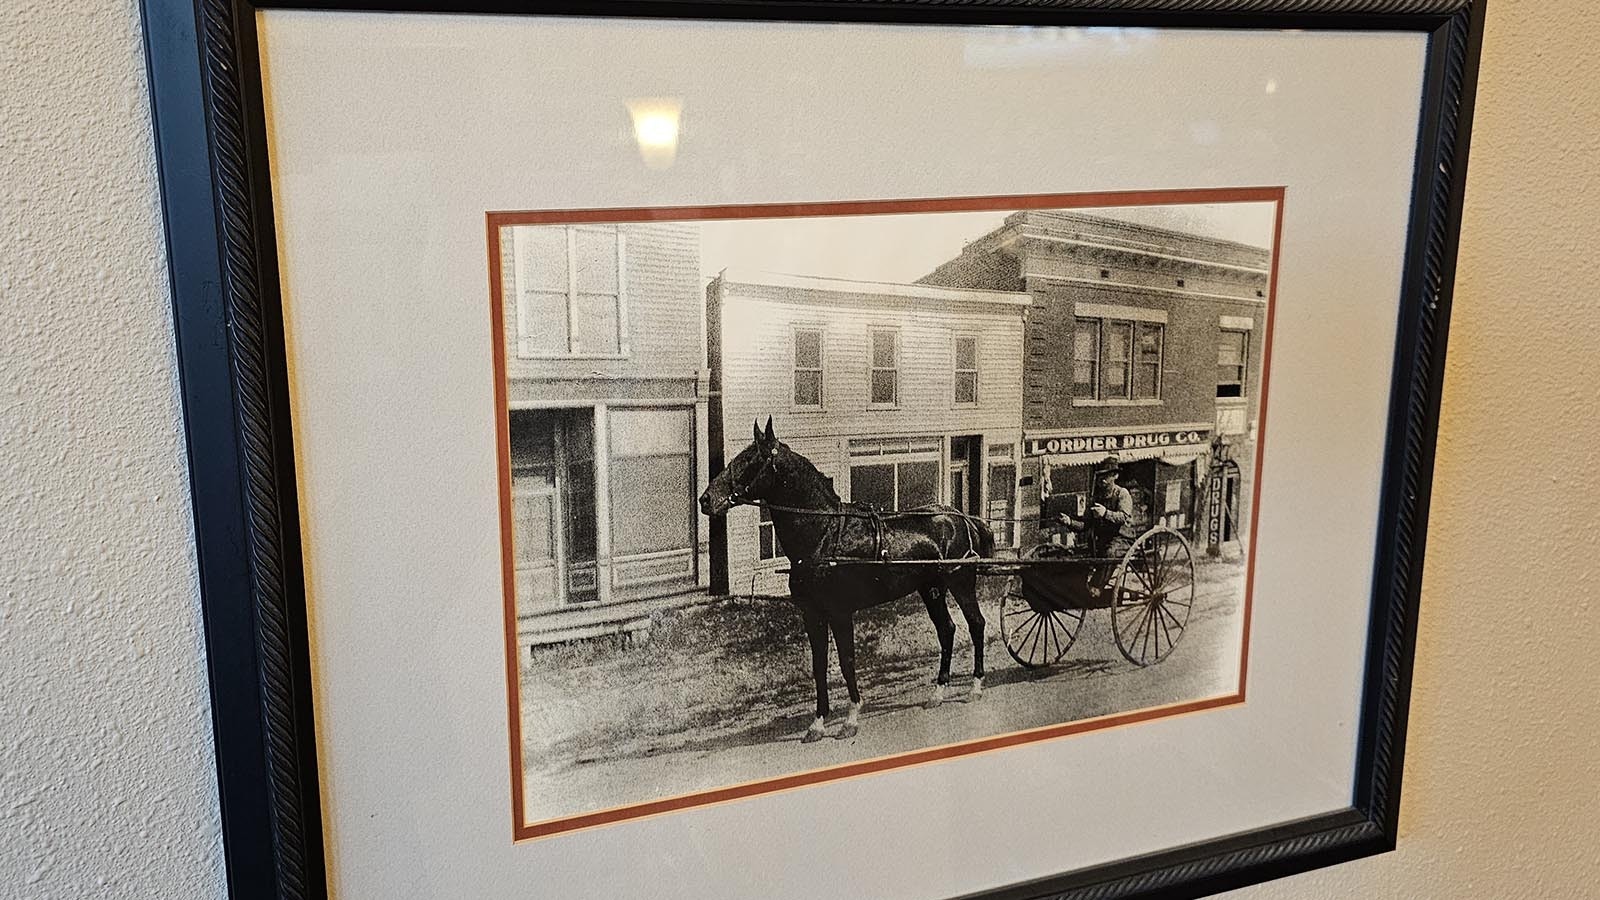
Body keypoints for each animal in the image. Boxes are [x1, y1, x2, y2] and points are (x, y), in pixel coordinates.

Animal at [704, 416, 992, 739]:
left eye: (750, 460)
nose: (706, 500)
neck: (824, 534)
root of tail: (963, 518)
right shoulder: (812, 614)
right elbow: (819, 665)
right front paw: (817, 723)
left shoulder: (840, 612)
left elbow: (847, 661)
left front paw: (851, 718)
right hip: (931, 589)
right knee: (947, 630)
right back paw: (938, 692)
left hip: (961, 584)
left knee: (976, 624)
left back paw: (975, 686)